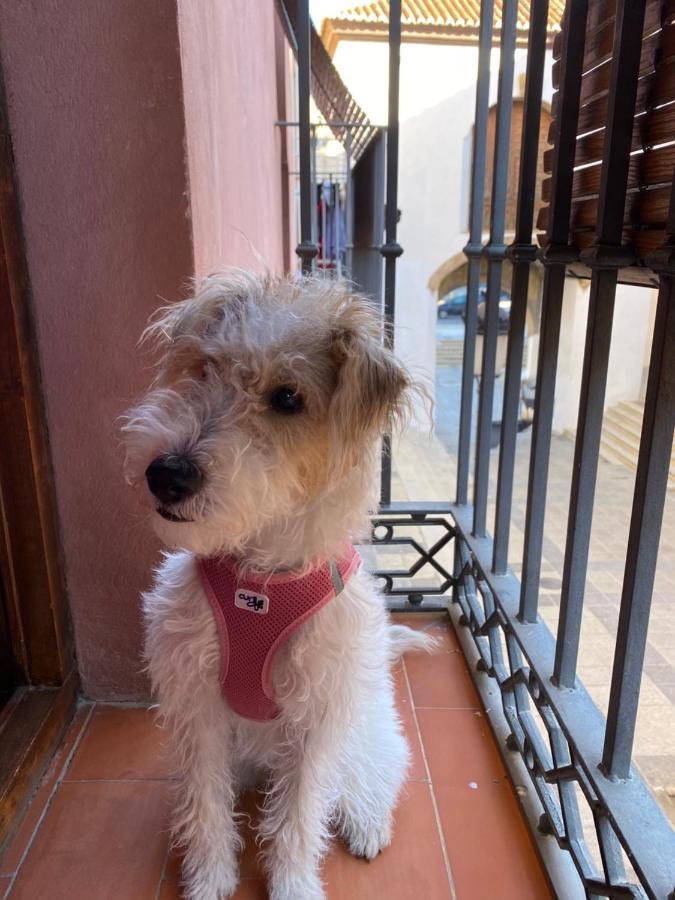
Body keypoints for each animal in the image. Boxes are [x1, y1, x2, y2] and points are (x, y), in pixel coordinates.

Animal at [123, 270, 434, 896]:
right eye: (205, 368)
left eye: (288, 398)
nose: (166, 474)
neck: (261, 582)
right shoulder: (198, 708)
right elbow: (207, 806)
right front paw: (210, 878)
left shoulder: (316, 723)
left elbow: (298, 817)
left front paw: (292, 883)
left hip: (366, 733)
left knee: (372, 778)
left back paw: (367, 824)